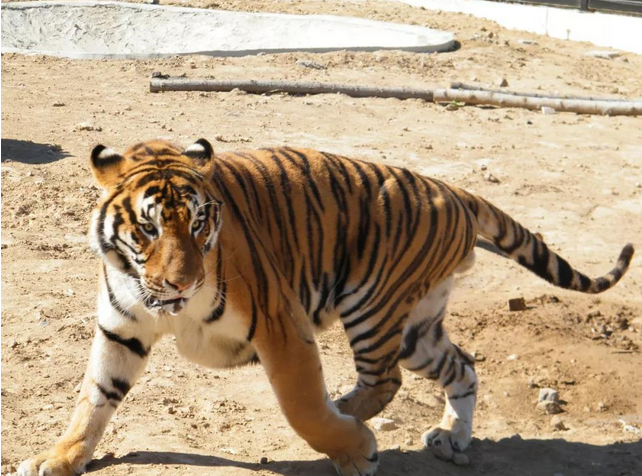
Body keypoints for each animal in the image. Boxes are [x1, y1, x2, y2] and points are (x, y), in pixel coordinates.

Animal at [17, 139, 632, 476]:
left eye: (198, 224)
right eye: (148, 228)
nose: (181, 283)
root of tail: (453, 190)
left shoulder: (280, 323)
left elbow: (302, 408)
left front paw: (355, 451)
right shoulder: (121, 329)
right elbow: (93, 399)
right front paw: (58, 457)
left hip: (374, 306)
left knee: (384, 381)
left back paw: (352, 415)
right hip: (417, 327)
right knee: (462, 366)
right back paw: (452, 437)